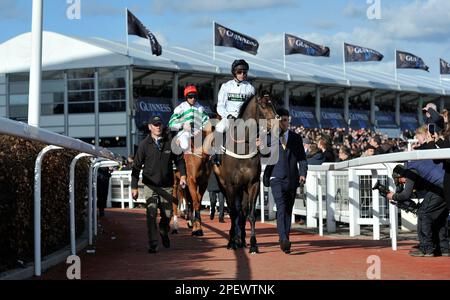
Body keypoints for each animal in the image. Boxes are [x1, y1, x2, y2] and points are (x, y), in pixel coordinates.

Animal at [211, 89, 278, 253]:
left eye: (274, 103)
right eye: (263, 105)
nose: (277, 125)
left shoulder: (252, 184)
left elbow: (250, 214)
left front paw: (253, 244)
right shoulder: (230, 185)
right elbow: (233, 212)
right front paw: (231, 242)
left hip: (242, 188)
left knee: (241, 210)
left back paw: (241, 239)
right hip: (223, 185)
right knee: (234, 210)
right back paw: (234, 238)